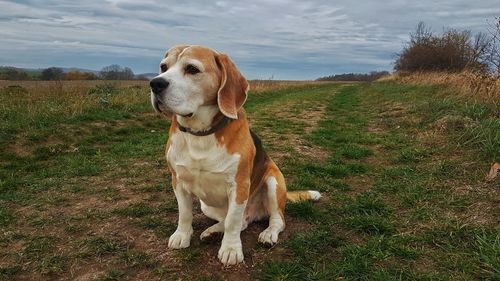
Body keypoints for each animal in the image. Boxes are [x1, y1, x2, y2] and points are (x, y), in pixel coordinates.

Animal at [149, 44, 320, 264]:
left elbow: (232, 221)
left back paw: (268, 234)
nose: (155, 83)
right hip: (206, 205)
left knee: (275, 220)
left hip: (273, 182)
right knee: (243, 222)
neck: (201, 133)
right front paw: (182, 236)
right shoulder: (178, 180)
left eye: (192, 69)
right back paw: (212, 231)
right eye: (163, 67)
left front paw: (230, 249)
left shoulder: (239, 186)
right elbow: (184, 213)